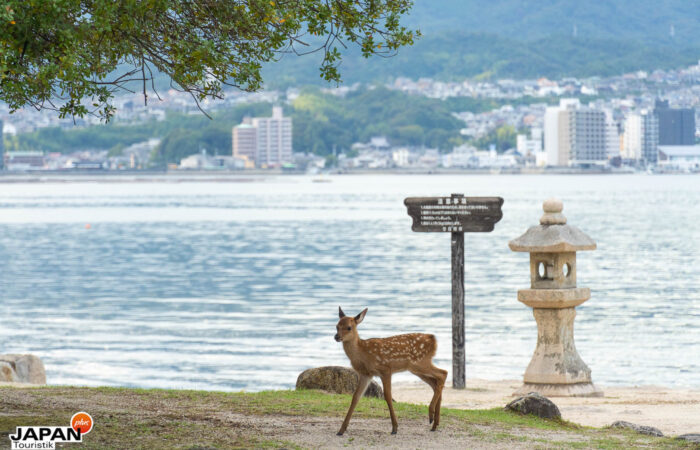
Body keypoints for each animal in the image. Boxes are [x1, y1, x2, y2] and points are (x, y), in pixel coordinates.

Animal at [334, 307, 448, 435]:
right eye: (336, 326)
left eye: (349, 327)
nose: (336, 337)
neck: (363, 353)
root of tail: (433, 339)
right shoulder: (366, 374)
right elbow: (356, 397)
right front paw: (341, 430)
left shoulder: (385, 369)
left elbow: (388, 396)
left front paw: (395, 428)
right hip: (416, 369)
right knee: (436, 383)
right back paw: (435, 424)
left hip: (420, 362)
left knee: (443, 373)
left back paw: (431, 415)